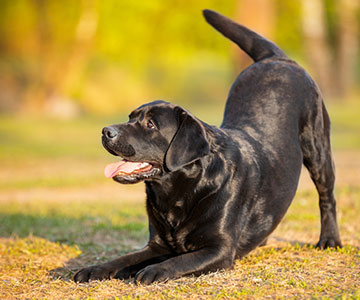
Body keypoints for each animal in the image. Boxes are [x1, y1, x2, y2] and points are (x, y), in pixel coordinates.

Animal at [74, 9, 340, 284]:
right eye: (130, 118)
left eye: (150, 124)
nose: (106, 131)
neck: (178, 192)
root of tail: (277, 58)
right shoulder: (156, 245)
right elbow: (123, 259)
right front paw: (95, 268)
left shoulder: (219, 249)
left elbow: (179, 260)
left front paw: (153, 270)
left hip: (317, 148)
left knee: (327, 197)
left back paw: (329, 240)